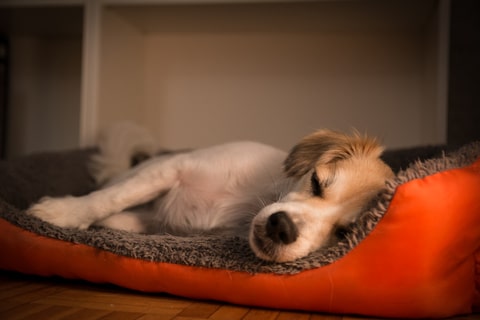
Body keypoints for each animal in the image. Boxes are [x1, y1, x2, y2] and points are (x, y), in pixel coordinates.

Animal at [27, 124, 394, 262]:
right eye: (316, 182)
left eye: (343, 233)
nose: (282, 227)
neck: (246, 203)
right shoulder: (171, 168)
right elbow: (111, 198)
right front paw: (62, 213)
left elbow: (122, 216)